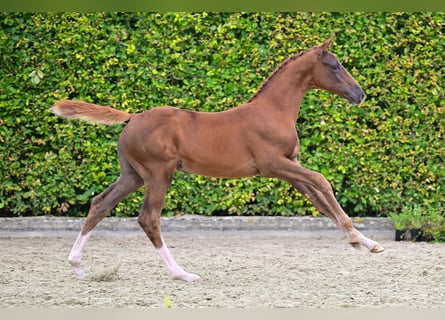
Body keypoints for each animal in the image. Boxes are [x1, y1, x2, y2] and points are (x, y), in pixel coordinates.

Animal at [52, 37, 384, 282]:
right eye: (335, 65)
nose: (360, 94)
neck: (272, 111)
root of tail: (132, 117)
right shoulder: (274, 165)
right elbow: (322, 182)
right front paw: (358, 238)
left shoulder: (288, 168)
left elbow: (318, 199)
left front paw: (365, 242)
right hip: (158, 174)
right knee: (148, 218)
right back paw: (181, 273)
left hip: (132, 175)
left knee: (100, 203)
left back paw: (77, 266)